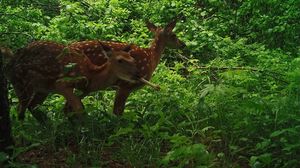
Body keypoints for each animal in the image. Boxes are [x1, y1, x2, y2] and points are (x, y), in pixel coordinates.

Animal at [2, 40, 141, 122]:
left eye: (134, 60)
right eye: (120, 60)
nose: (137, 74)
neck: (90, 74)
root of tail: (8, 64)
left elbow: (71, 109)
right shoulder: (61, 83)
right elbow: (79, 108)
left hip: (42, 88)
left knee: (32, 106)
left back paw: (47, 125)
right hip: (21, 82)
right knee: (20, 109)